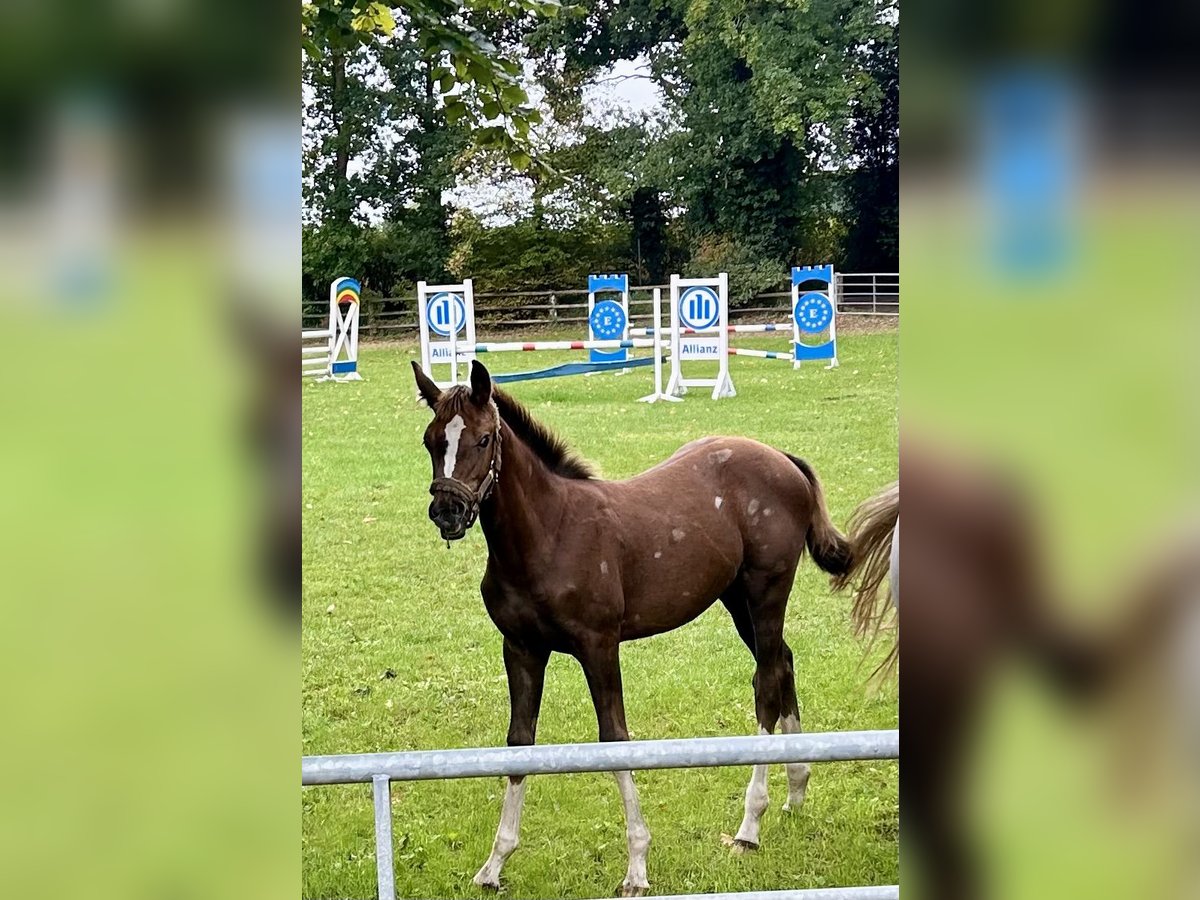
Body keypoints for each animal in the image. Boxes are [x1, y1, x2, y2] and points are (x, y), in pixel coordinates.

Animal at [411, 360, 855, 896]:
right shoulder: (520, 649)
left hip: (766, 592)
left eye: (482, 439)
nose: (447, 512)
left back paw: (750, 825)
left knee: (767, 682)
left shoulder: (599, 646)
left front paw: (637, 865)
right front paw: (495, 863)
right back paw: (796, 787)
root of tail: (782, 459)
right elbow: (520, 742)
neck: (550, 534)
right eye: (431, 440)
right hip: (736, 601)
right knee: (783, 663)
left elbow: (615, 738)